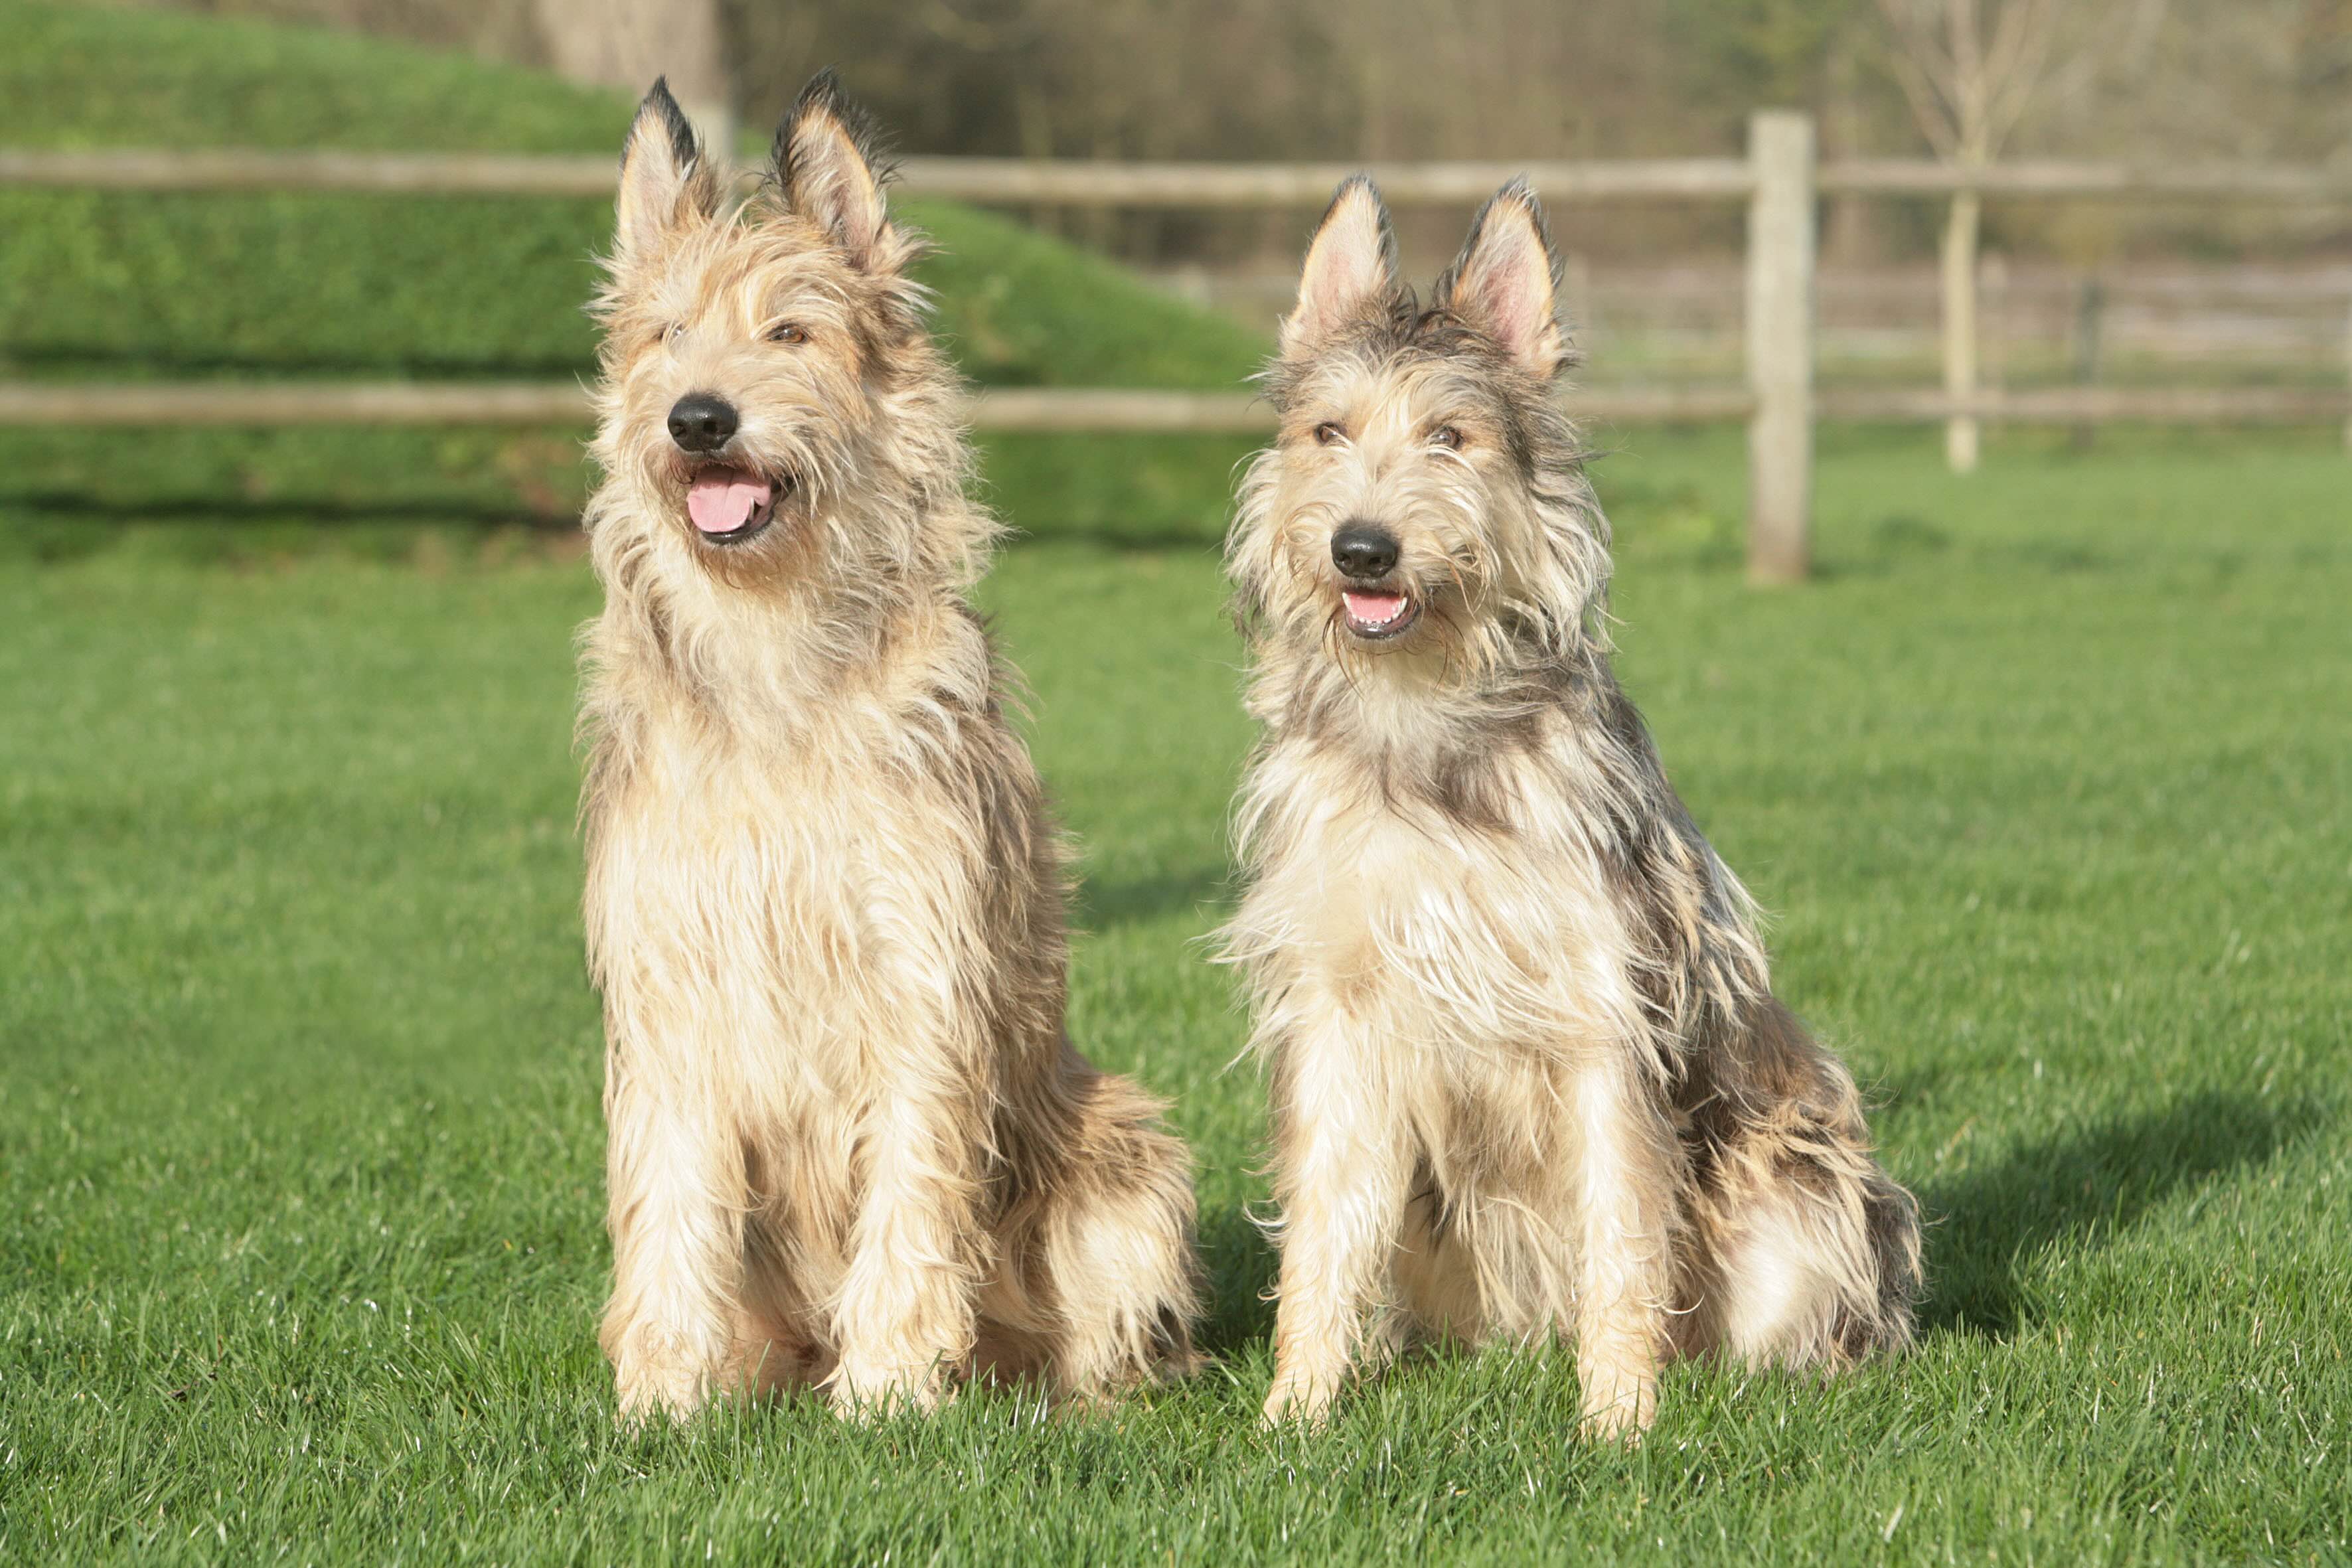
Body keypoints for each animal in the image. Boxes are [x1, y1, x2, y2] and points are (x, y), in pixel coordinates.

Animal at [578, 73, 1204, 1419]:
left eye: (791, 333)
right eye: (666, 334)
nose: (697, 419)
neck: (772, 640)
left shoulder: (920, 962)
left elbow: (914, 1185)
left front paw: (888, 1389)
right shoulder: (669, 976)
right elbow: (670, 1199)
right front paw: (662, 1392)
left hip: (1125, 1168)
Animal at [1223, 177, 1919, 1439]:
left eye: (1447, 437)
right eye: (1327, 433)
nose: (1362, 547)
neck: (1429, 712)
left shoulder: (1604, 1011)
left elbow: (1619, 1229)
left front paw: (1617, 1422)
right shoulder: (1340, 1009)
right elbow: (1323, 1233)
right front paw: (1294, 1410)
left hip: (1801, 1206)